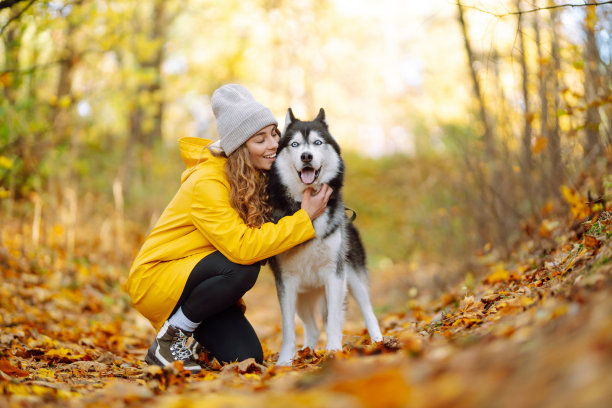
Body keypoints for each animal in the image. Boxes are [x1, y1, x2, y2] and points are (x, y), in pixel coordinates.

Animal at [268, 107, 382, 364]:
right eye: (295, 144)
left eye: (317, 142)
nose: (306, 156)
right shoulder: (286, 282)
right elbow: (288, 328)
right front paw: (284, 362)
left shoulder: (334, 274)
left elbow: (333, 322)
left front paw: (333, 350)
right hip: (303, 297)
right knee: (312, 328)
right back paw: (306, 352)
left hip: (353, 279)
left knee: (368, 311)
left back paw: (379, 341)